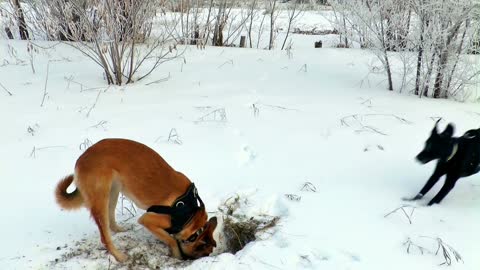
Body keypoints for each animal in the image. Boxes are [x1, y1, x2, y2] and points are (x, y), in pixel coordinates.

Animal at [54, 138, 218, 260]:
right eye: (204, 253)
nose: (187, 259)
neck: (190, 214)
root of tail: (82, 157)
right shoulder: (148, 219)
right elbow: (171, 239)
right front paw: (177, 254)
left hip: (114, 191)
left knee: (110, 219)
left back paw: (119, 229)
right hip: (101, 198)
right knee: (105, 237)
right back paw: (120, 257)